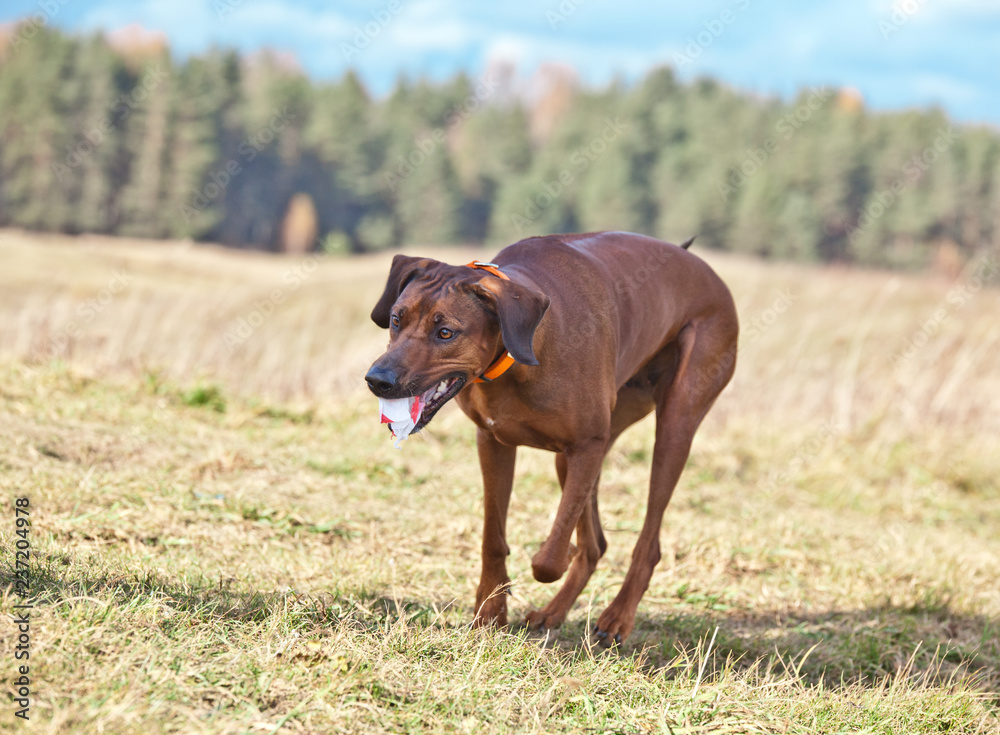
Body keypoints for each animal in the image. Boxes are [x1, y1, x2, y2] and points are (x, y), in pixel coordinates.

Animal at [364, 230, 740, 644]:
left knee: (647, 542)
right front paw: (490, 612)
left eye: (445, 332)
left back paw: (617, 617)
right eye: (396, 319)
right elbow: (493, 539)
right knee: (595, 544)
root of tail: (703, 267)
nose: (378, 380)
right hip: (582, 451)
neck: (521, 352)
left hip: (673, 427)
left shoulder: (587, 445)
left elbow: (549, 559)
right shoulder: (494, 443)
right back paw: (553, 613)